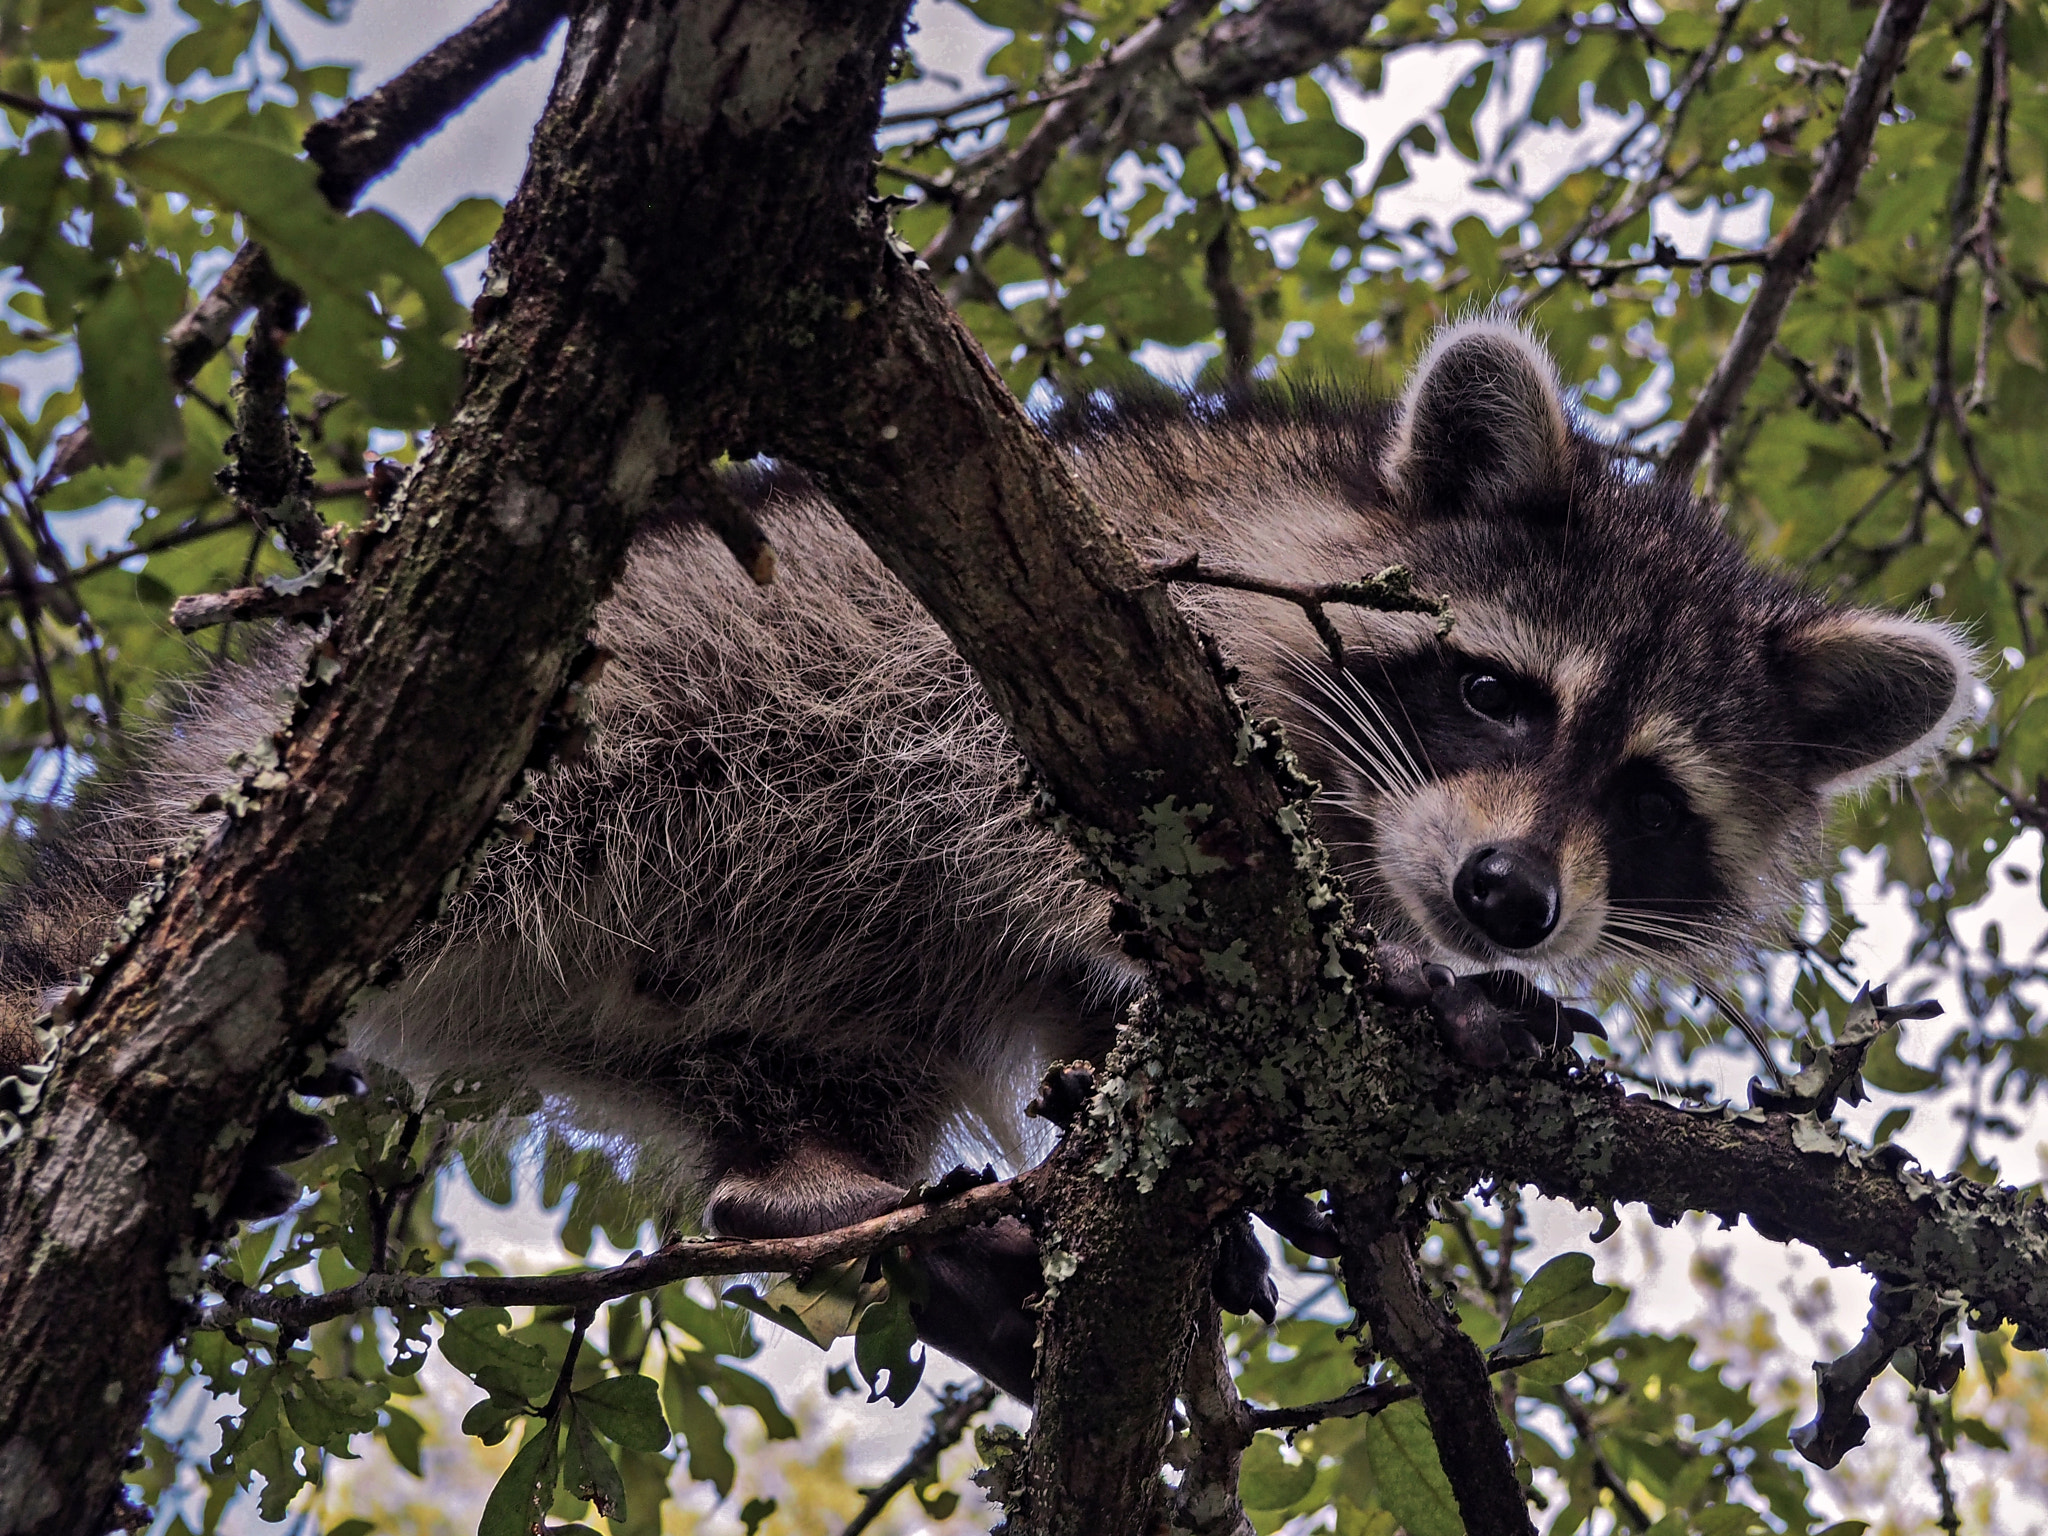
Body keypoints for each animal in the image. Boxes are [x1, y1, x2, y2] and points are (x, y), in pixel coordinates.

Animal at [0, 319, 1975, 1399]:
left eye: (1643, 796)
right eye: (1493, 690)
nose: (1506, 900)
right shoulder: (1122, 607)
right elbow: (1044, 825)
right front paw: (1404, 985)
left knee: (802, 1059)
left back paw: (802, 1180)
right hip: (586, 715)